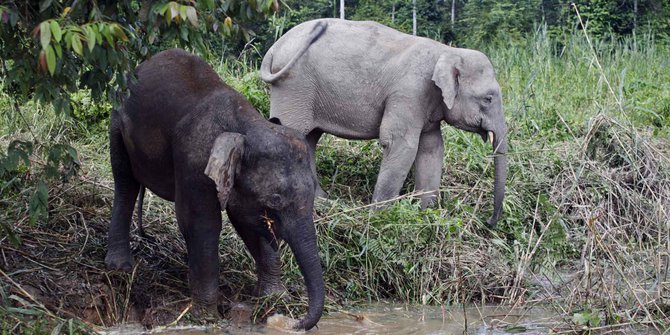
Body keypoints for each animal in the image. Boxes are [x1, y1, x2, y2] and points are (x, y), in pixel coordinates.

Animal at [105, 48, 326, 332]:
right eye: (274, 200)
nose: (295, 322)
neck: (246, 125)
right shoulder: (195, 163)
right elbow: (202, 224)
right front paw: (206, 317)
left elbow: (248, 223)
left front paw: (274, 298)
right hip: (117, 123)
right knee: (125, 182)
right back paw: (120, 267)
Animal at [262, 19, 510, 228]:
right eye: (488, 98)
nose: (488, 222)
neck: (447, 51)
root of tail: (274, 48)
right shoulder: (409, 92)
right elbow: (400, 144)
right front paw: (379, 216)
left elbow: (431, 148)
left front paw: (426, 214)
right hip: (294, 87)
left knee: (310, 138)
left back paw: (322, 200)